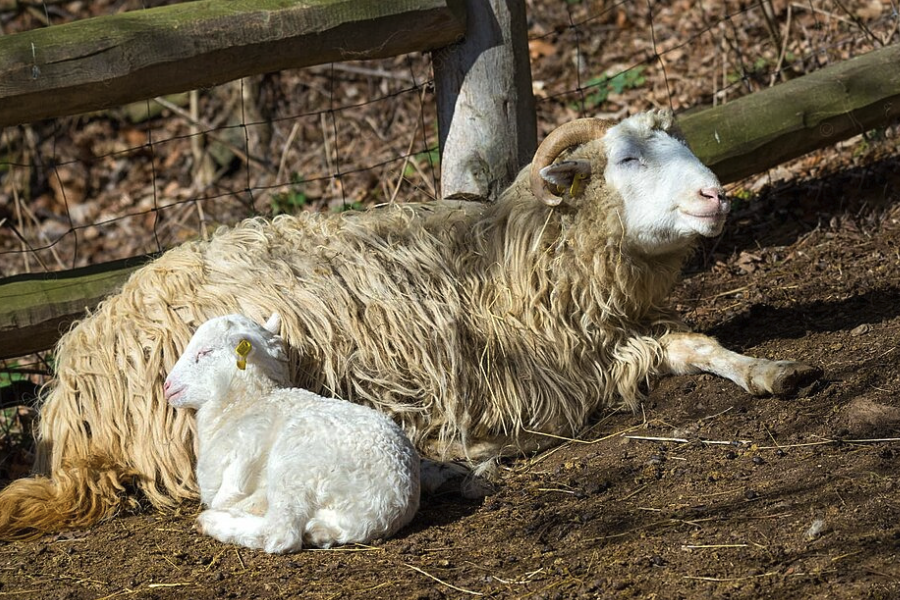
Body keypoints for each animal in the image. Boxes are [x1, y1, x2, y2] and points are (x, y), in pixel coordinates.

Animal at [163, 314, 422, 552]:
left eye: (205, 352)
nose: (167, 386)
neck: (247, 402)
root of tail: (387, 502)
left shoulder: (245, 452)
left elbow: (225, 496)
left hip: (296, 464)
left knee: (280, 533)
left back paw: (212, 522)